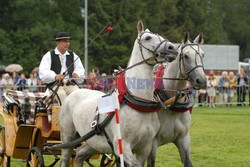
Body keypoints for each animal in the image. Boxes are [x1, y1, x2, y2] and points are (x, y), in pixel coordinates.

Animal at [59, 20, 179, 167]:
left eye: (160, 36)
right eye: (148, 38)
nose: (172, 48)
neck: (137, 103)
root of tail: (74, 93)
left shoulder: (145, 147)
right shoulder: (122, 147)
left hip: (93, 142)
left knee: (80, 154)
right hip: (67, 138)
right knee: (66, 158)